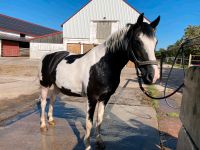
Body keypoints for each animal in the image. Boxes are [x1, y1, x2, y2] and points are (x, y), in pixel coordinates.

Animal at [38, 13, 161, 149]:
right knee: (43, 102)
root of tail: (49, 55)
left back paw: (51, 120)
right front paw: (87, 146)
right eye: (138, 41)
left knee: (52, 100)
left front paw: (99, 142)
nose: (153, 76)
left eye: (156, 42)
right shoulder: (92, 98)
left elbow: (100, 120)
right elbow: (89, 123)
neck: (103, 65)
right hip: (44, 84)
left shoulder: (104, 97)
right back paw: (43, 125)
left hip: (57, 86)